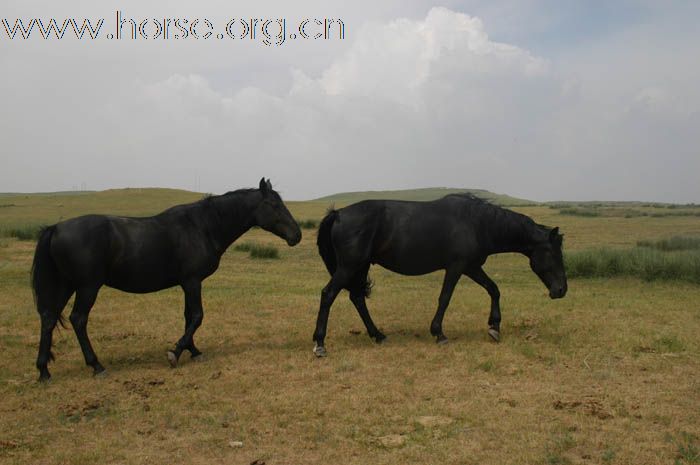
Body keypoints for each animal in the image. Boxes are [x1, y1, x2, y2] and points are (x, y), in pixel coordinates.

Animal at [32, 179, 300, 380]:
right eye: (274, 204)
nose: (296, 235)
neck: (203, 226)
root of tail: (55, 228)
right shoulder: (192, 281)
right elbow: (197, 316)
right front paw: (176, 352)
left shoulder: (187, 283)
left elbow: (188, 316)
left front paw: (192, 350)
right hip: (87, 287)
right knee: (78, 320)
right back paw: (96, 365)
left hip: (67, 285)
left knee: (48, 318)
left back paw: (44, 371)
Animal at [314, 192, 568, 356]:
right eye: (553, 254)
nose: (562, 290)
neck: (478, 223)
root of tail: (338, 214)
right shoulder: (456, 267)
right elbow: (445, 298)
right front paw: (439, 334)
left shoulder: (472, 267)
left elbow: (494, 289)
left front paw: (494, 327)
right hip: (349, 266)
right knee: (328, 294)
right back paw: (319, 343)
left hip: (361, 266)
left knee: (357, 298)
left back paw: (378, 335)